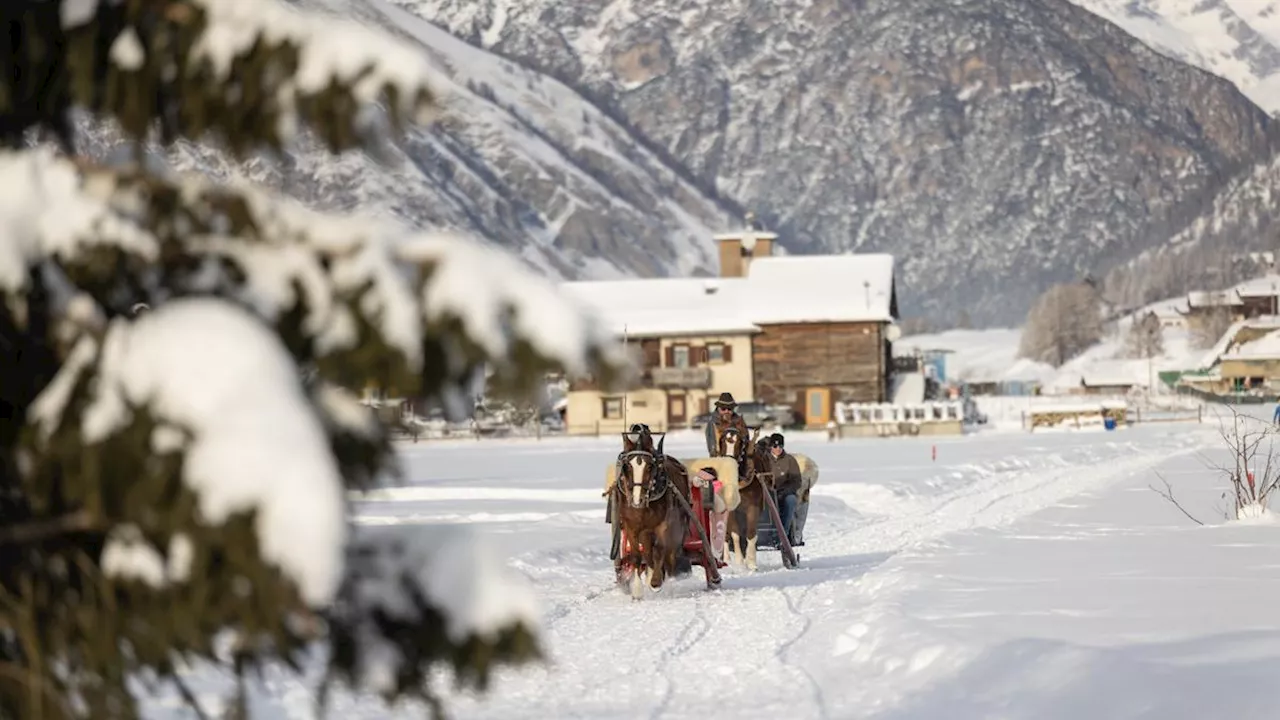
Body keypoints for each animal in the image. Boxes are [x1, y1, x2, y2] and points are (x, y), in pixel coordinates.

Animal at [609, 425, 691, 594]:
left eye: (650, 466)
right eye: (627, 466)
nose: (637, 500)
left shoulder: (663, 525)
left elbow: (659, 551)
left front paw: (655, 581)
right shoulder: (631, 526)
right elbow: (636, 556)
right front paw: (637, 589)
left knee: (667, 553)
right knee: (647, 552)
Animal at [716, 422, 762, 568]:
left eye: (740, 442)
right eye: (722, 441)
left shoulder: (754, 506)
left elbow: (751, 534)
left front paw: (751, 561)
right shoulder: (731, 510)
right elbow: (735, 534)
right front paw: (739, 561)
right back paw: (726, 559)